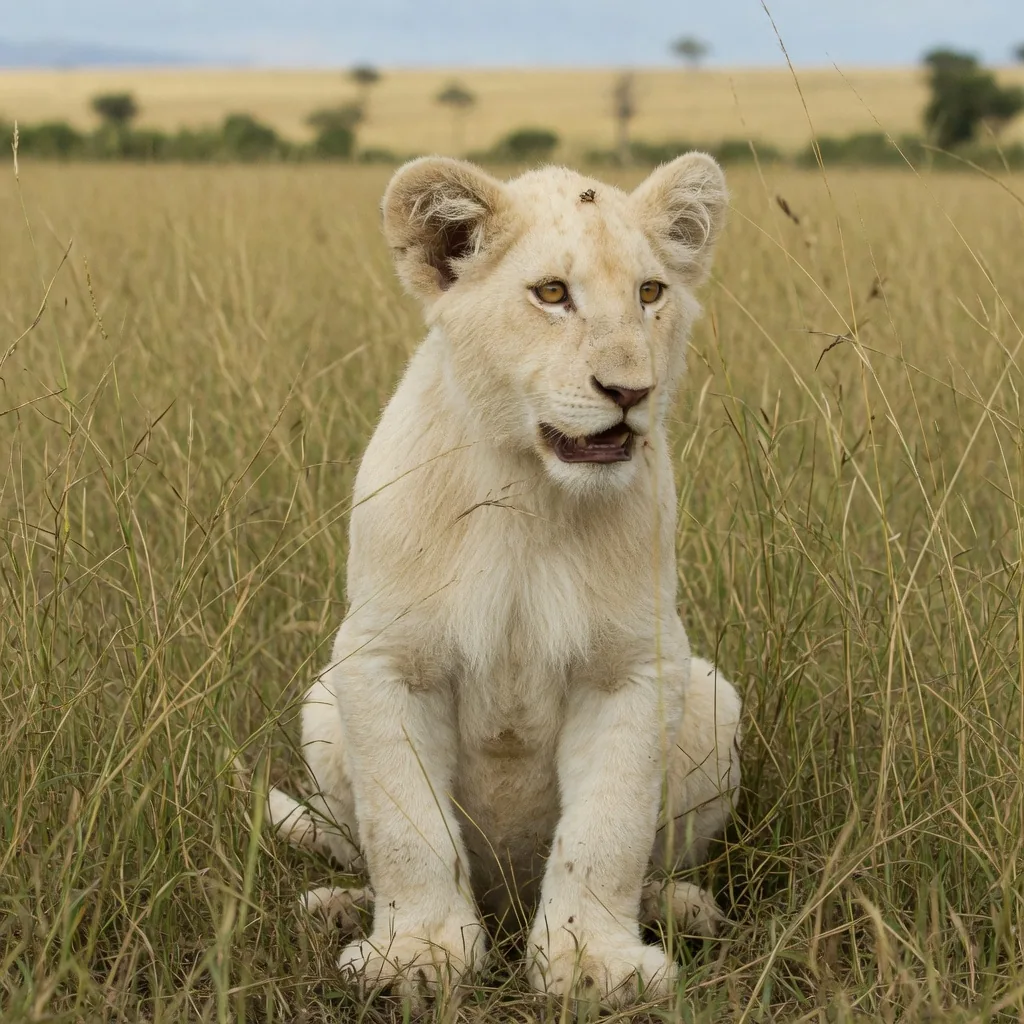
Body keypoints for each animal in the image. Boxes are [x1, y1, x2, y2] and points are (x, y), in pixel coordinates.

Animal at [266, 153, 742, 1009]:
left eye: (650, 293)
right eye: (552, 293)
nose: (631, 391)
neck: (530, 491)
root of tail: (509, 901)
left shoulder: (636, 663)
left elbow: (607, 831)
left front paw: (594, 964)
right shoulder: (384, 658)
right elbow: (408, 829)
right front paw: (417, 956)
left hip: (714, 699)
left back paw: (683, 907)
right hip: (322, 705)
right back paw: (335, 909)